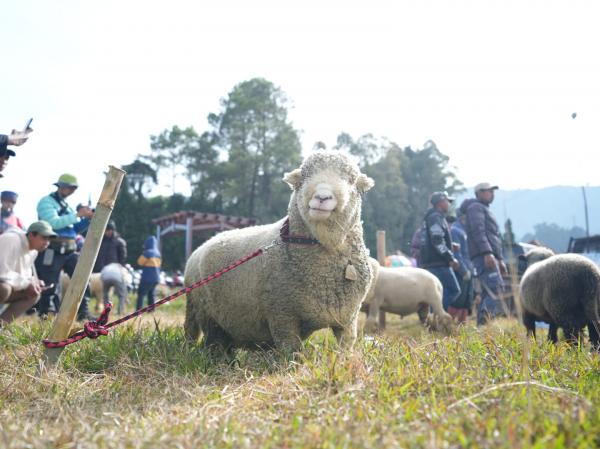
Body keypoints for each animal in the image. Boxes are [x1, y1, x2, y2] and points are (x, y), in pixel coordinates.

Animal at [183, 150, 372, 350]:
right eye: (304, 176)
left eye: (351, 180)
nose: (322, 197)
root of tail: (200, 248)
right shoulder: (282, 314)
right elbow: (291, 350)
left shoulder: (348, 318)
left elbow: (346, 347)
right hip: (204, 311)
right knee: (206, 339)